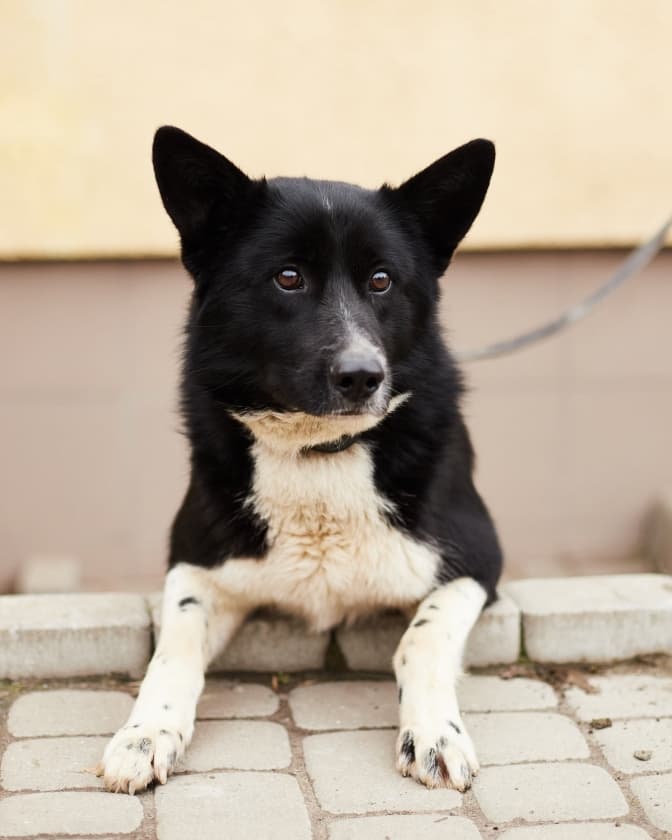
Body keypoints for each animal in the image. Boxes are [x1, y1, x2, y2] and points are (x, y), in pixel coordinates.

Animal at [97, 125, 503, 794]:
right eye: (288, 277)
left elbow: (422, 637)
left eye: (382, 280)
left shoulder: (477, 560)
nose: (363, 376)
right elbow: (174, 646)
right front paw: (144, 734)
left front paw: (435, 733)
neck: (317, 453)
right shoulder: (194, 563)